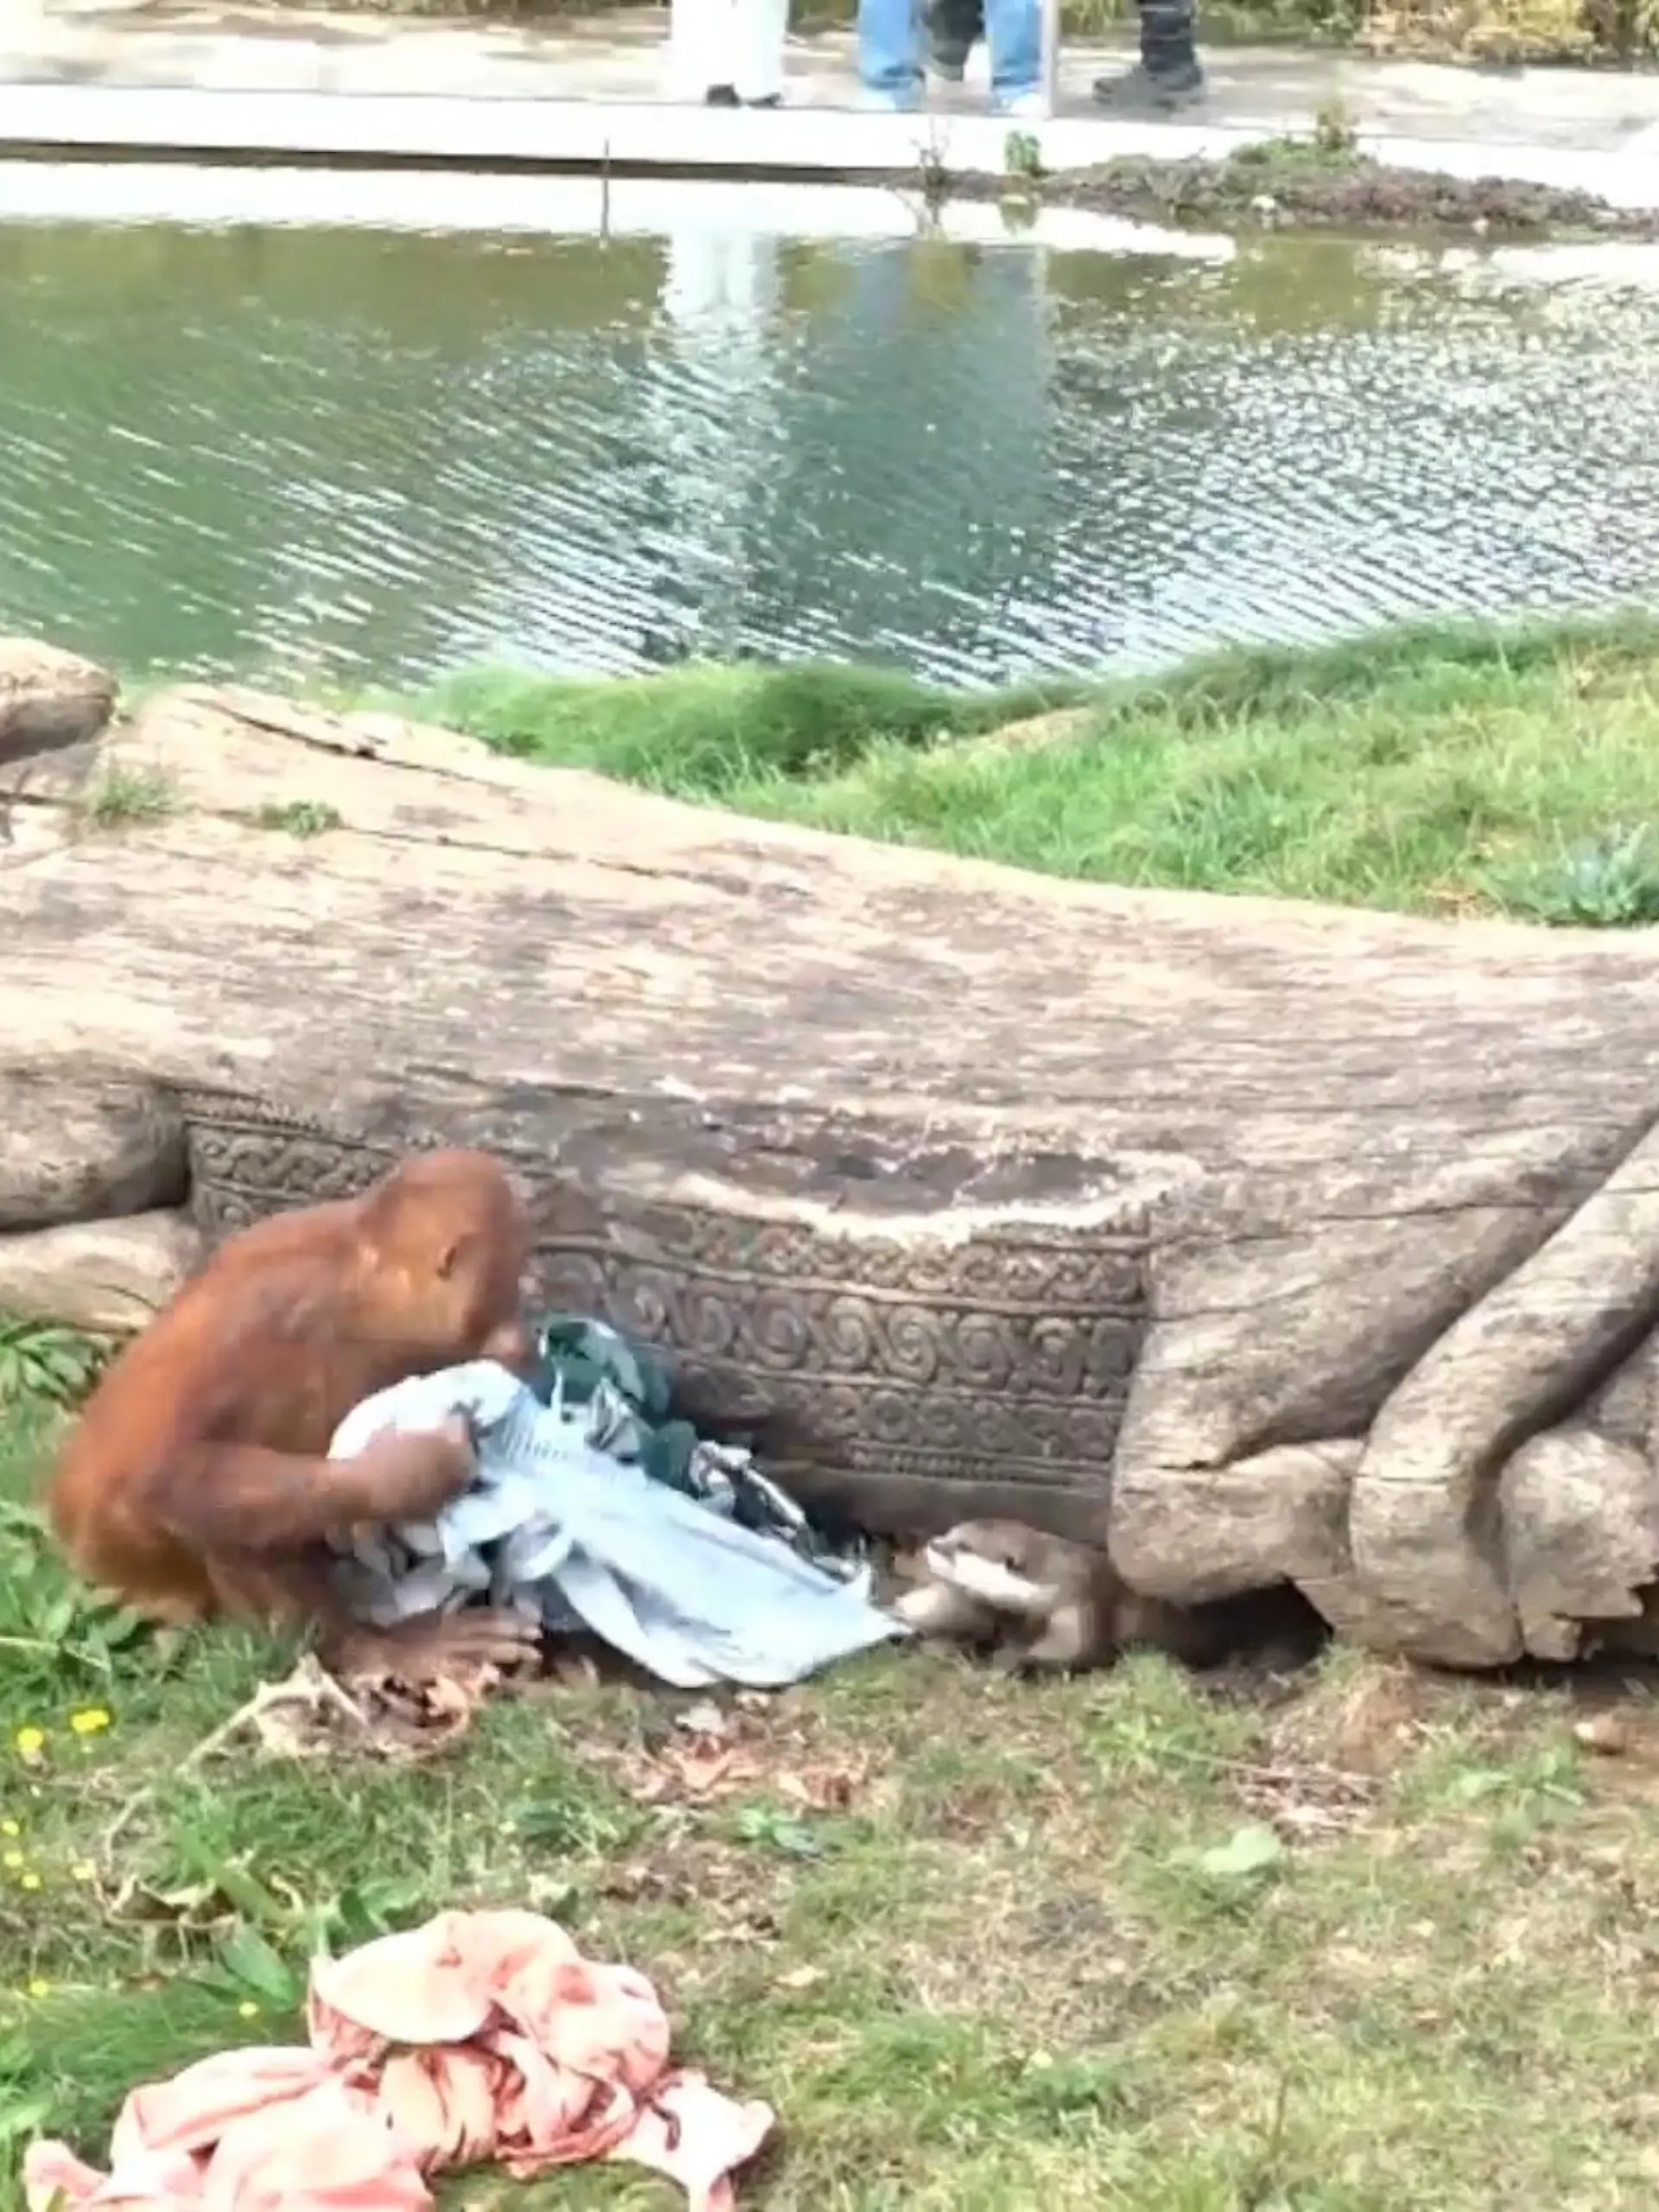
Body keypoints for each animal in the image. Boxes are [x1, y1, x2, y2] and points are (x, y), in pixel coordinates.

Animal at [46, 1148, 546, 1685]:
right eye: (510, 1278)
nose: (521, 1317)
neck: (359, 1280)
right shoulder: (284, 1314)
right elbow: (171, 1470)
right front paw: (412, 1471)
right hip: (135, 1560)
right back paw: (373, 1647)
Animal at [894, 1519, 1258, 1675]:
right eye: (950, 1532)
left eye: (963, 1547)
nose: (933, 1544)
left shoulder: (1083, 1599)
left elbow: (1077, 1649)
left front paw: (1014, 1659)